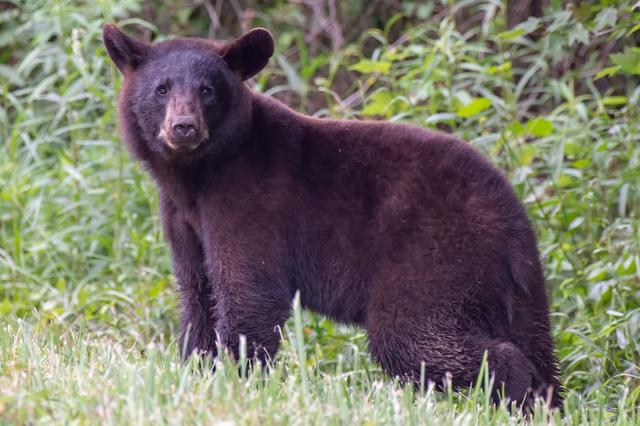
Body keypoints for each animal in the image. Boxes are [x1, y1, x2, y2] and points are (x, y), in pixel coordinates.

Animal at [102, 24, 562, 408]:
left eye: (208, 90)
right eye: (162, 88)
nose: (183, 127)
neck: (197, 178)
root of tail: (513, 222)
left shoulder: (250, 205)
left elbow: (248, 291)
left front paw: (237, 381)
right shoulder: (182, 220)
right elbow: (197, 292)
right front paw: (196, 370)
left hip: (435, 258)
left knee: (415, 336)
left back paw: (512, 393)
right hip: (510, 289)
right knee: (533, 341)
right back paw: (544, 403)